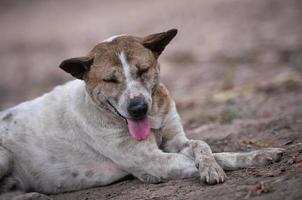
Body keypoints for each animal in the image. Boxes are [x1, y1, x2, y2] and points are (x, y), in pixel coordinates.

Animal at [0, 28, 284, 199]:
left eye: (143, 70)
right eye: (110, 80)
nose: (138, 108)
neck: (154, 118)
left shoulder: (175, 140)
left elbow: (206, 147)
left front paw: (254, 156)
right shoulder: (153, 162)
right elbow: (205, 158)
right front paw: (213, 168)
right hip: (3, 155)